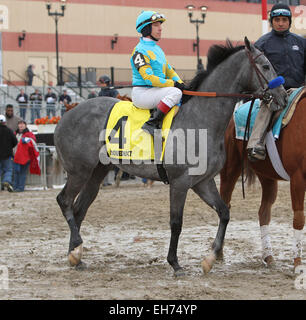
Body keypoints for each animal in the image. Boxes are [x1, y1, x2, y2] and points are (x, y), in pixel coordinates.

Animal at [54, 38, 286, 276]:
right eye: (266, 66)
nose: (283, 96)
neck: (200, 119)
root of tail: (66, 115)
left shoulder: (203, 181)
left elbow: (224, 213)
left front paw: (210, 258)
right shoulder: (179, 182)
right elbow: (176, 223)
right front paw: (175, 263)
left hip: (96, 173)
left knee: (79, 209)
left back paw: (76, 255)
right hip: (79, 172)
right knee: (64, 201)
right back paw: (76, 249)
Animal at [219, 94, 304, 270]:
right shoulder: (297, 178)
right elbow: (299, 219)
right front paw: (298, 263)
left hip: (267, 177)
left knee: (263, 212)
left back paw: (268, 256)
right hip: (230, 170)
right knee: (224, 205)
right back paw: (218, 253)